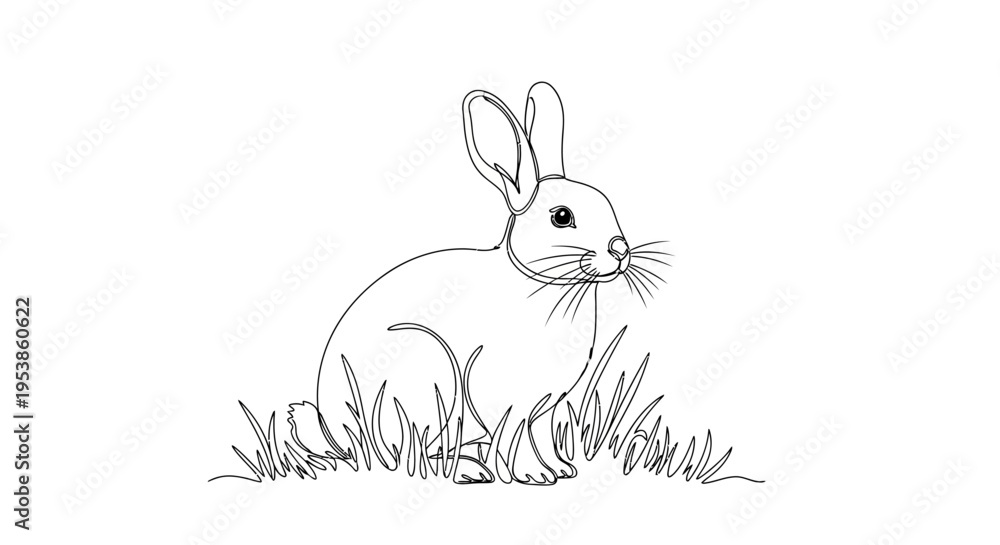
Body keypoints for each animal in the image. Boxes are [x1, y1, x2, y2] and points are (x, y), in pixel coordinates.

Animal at [313, 82, 656, 485]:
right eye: (562, 216)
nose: (620, 250)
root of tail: (333, 428)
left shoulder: (545, 407)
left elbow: (538, 433)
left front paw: (561, 469)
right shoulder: (508, 396)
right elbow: (515, 435)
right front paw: (534, 475)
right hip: (430, 376)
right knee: (406, 456)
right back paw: (468, 471)